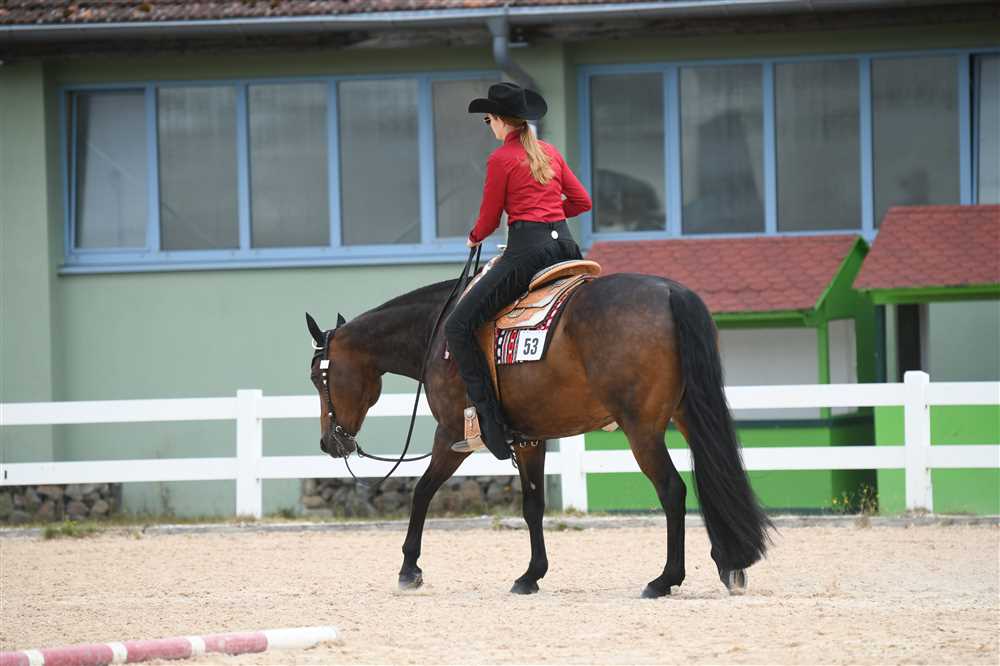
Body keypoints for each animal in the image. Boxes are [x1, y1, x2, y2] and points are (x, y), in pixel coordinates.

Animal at [306, 271, 772, 598]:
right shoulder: (530, 439)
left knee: (673, 491)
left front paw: (409, 569)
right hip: (688, 415)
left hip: (642, 431)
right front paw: (531, 575)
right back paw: (731, 563)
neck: (438, 336)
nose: (330, 442)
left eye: (317, 377)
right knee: (717, 475)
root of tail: (671, 293)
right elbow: (533, 505)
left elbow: (422, 492)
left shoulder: (452, 435)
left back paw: (665, 579)